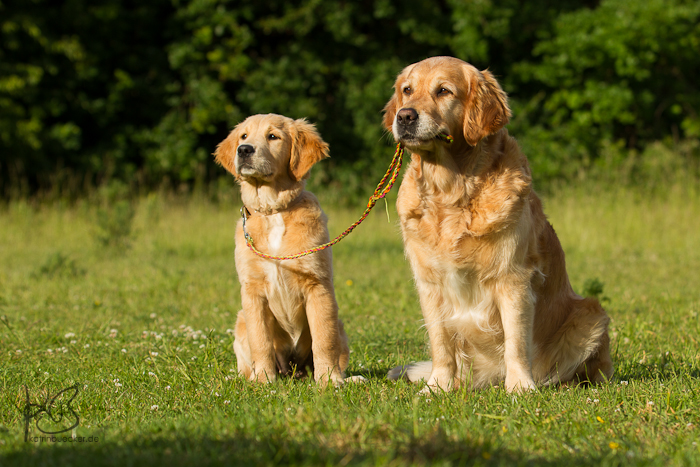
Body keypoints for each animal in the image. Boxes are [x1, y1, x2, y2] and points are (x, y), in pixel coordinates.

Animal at [215, 114, 348, 388]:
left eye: (273, 137)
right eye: (244, 136)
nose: (243, 150)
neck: (273, 211)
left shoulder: (318, 284)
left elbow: (324, 339)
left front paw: (329, 380)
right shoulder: (252, 291)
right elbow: (260, 341)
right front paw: (264, 380)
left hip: (340, 325)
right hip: (240, 322)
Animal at [382, 56, 612, 394]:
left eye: (443, 91)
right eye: (407, 90)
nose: (405, 116)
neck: (452, 191)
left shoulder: (512, 277)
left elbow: (516, 340)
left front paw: (520, 387)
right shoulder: (429, 283)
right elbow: (440, 342)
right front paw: (438, 386)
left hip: (591, 314)